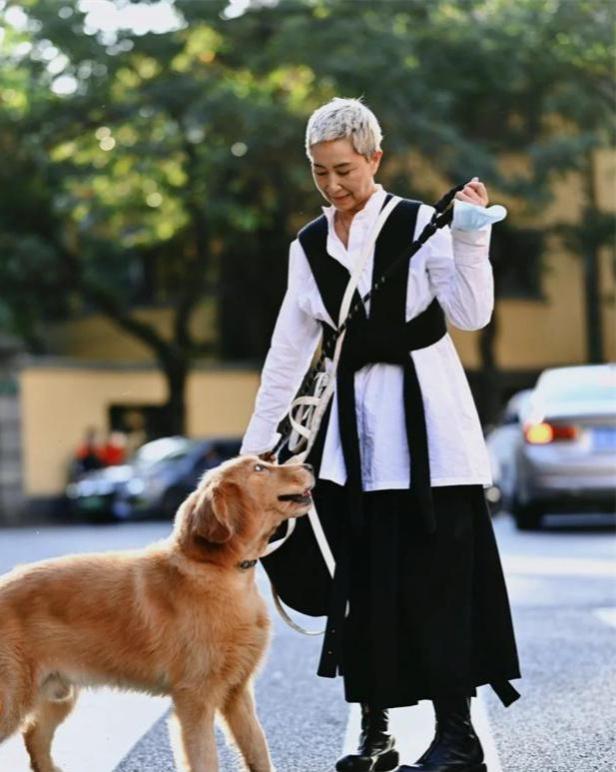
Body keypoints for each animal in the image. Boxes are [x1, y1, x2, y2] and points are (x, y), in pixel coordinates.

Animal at [0, 456, 316, 768]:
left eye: (265, 461)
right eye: (260, 469)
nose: (310, 466)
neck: (219, 571)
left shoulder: (238, 695)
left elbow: (258, 750)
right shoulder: (194, 701)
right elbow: (206, 759)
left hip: (57, 694)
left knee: (34, 738)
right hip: (12, 698)